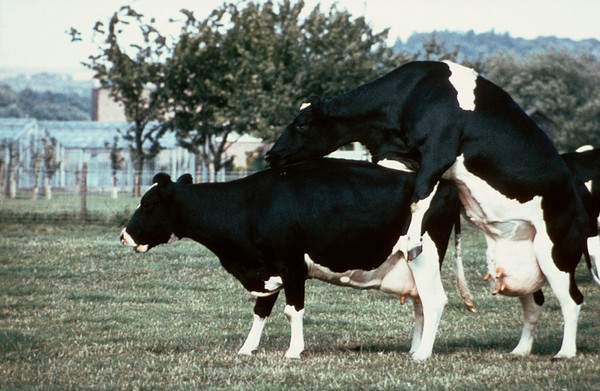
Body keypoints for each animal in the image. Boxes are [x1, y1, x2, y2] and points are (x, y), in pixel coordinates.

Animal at [120, 159, 468, 362]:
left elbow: (292, 310)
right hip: (412, 263)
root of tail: (444, 185)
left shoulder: (291, 266)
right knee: (420, 303)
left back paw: (422, 355)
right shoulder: (267, 269)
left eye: (148, 204)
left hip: (424, 255)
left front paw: (293, 351)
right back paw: (414, 348)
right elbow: (260, 311)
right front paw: (247, 349)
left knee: (434, 300)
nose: (124, 236)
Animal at [268, 60, 600, 358]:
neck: (413, 93)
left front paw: (412, 240)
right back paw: (520, 350)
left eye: (301, 123)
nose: (271, 155)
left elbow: (419, 196)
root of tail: (578, 193)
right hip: (522, 258)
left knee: (572, 299)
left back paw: (565, 352)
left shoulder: (438, 152)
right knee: (533, 303)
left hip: (555, 250)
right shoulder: (403, 156)